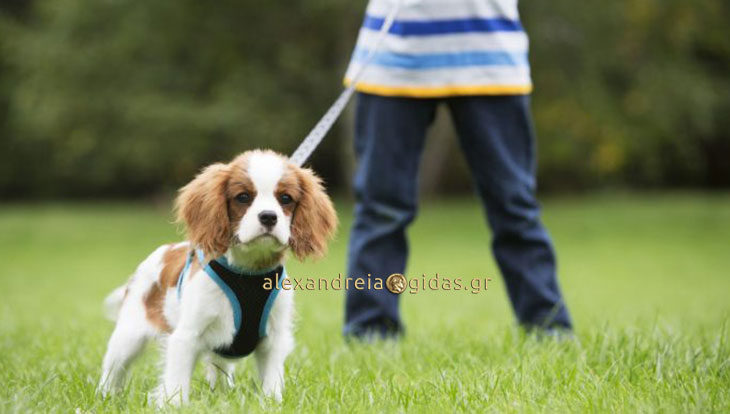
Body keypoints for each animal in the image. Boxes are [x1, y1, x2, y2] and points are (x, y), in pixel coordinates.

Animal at [96, 149, 336, 404]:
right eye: (243, 197)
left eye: (286, 198)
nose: (269, 217)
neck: (248, 273)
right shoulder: (186, 337)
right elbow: (176, 382)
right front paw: (176, 405)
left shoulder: (274, 339)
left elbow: (271, 379)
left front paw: (272, 402)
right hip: (128, 336)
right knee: (113, 369)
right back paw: (105, 396)